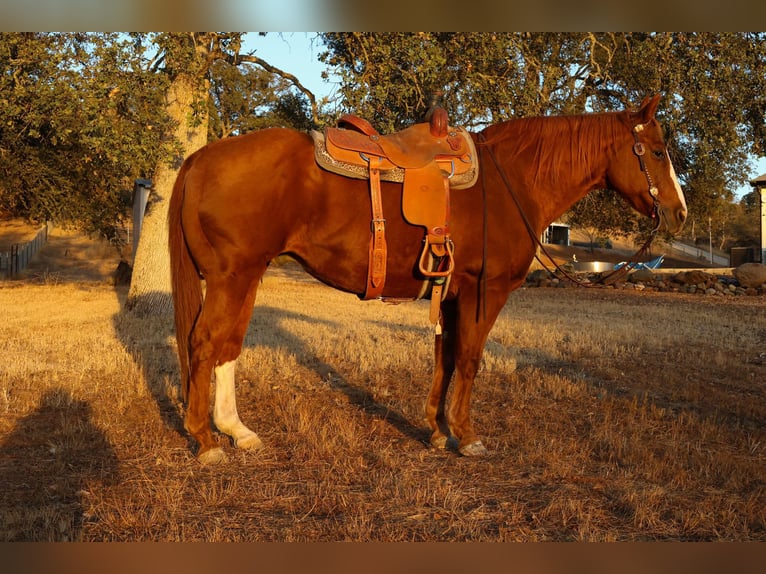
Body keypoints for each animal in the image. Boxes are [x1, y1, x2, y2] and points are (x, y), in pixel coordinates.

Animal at [169, 94, 687, 464]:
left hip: (245, 277)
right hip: (232, 277)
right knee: (204, 343)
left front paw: (437, 430)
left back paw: (237, 431)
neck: (511, 182)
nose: (679, 214)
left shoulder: (452, 293)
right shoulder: (484, 290)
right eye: (658, 151)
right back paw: (206, 440)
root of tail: (200, 158)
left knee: (227, 346)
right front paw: (467, 436)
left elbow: (446, 358)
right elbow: (472, 360)